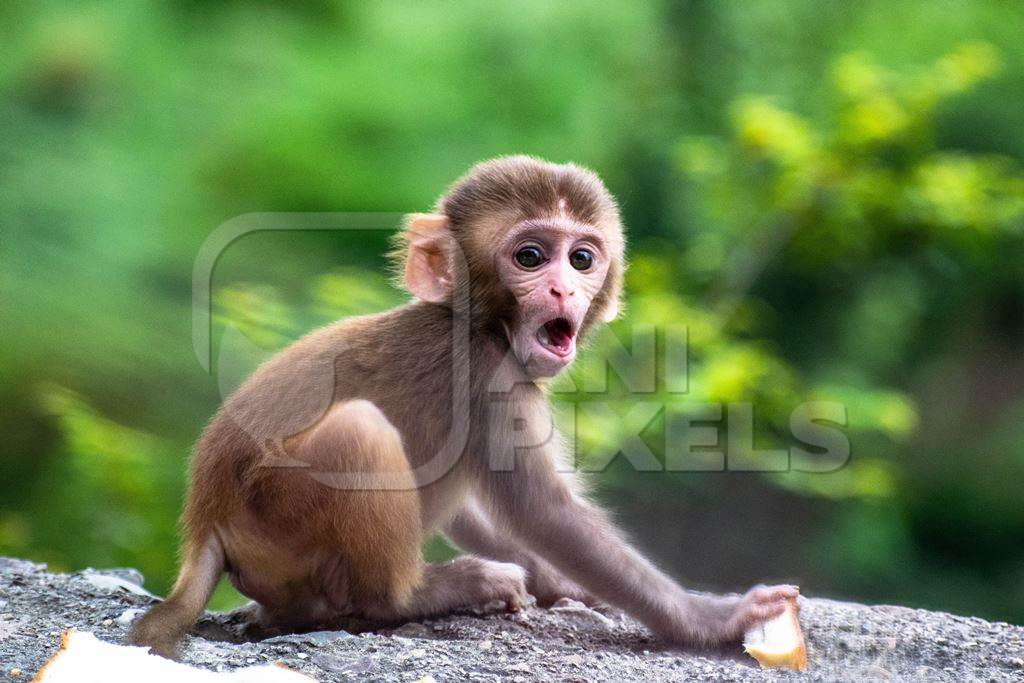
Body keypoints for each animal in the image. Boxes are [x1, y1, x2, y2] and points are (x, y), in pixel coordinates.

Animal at [130, 157, 798, 659]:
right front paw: (710, 619)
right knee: (360, 432)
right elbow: (542, 511)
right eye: (530, 257)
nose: (563, 289)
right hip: (277, 512)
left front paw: (556, 582)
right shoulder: (490, 378)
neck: (481, 324)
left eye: (582, 258)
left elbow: (484, 506)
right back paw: (418, 595)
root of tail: (206, 522)